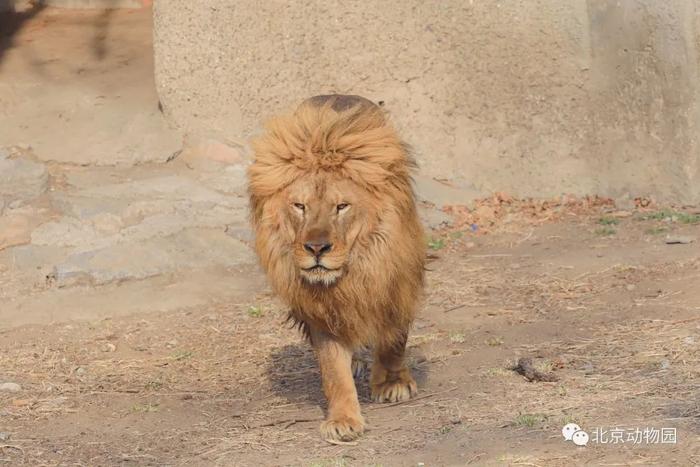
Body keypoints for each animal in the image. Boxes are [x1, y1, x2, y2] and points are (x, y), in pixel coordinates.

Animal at [249, 95, 430, 442]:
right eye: (300, 206)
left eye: (341, 206)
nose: (316, 249)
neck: (354, 270)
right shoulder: (321, 310)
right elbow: (334, 370)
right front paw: (343, 419)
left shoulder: (398, 280)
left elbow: (394, 337)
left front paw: (392, 383)